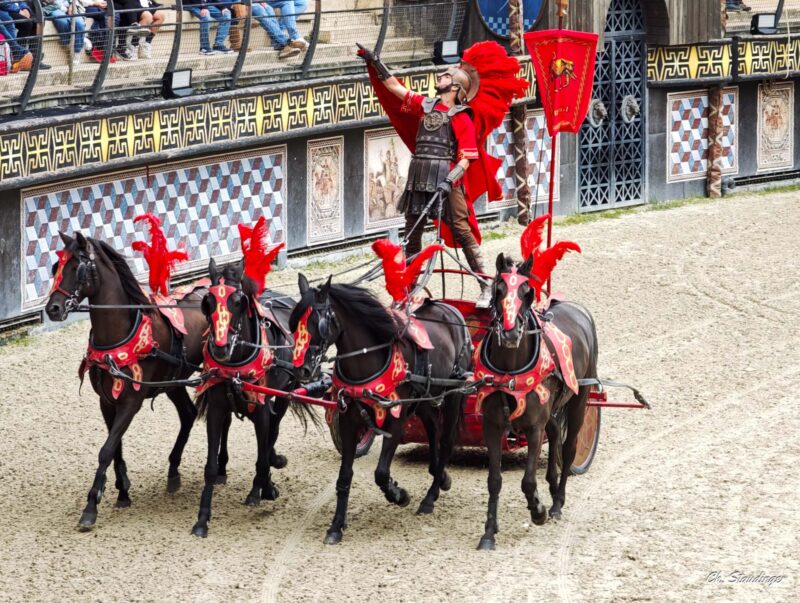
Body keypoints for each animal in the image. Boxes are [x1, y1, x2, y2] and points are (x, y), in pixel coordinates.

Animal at [44, 231, 209, 530]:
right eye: (55, 267)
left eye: (78, 268)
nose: (53, 308)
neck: (119, 336)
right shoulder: (107, 401)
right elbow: (116, 448)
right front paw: (122, 491)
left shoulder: (131, 402)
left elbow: (106, 449)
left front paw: (91, 506)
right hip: (173, 380)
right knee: (188, 414)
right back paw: (173, 471)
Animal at [191, 258, 314, 537]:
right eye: (208, 301)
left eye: (238, 301)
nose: (221, 348)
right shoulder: (216, 408)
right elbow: (209, 466)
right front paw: (202, 519)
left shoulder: (262, 407)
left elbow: (262, 451)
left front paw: (263, 487)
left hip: (285, 393)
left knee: (272, 432)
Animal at [289, 275, 471, 544]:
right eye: (293, 323)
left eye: (317, 322)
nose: (302, 369)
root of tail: (448, 309)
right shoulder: (349, 420)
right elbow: (344, 477)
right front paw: (336, 526)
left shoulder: (396, 418)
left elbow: (382, 473)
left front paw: (399, 494)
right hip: (423, 398)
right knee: (432, 428)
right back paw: (440, 476)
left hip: (454, 393)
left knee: (446, 439)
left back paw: (430, 496)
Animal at [475, 252, 598, 550]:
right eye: (498, 290)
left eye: (527, 291)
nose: (510, 334)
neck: (509, 372)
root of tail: (577, 311)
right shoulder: (492, 425)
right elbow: (494, 480)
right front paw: (489, 532)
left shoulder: (533, 427)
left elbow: (528, 482)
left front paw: (538, 510)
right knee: (553, 433)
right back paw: (552, 488)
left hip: (580, 399)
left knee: (568, 447)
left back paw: (557, 503)